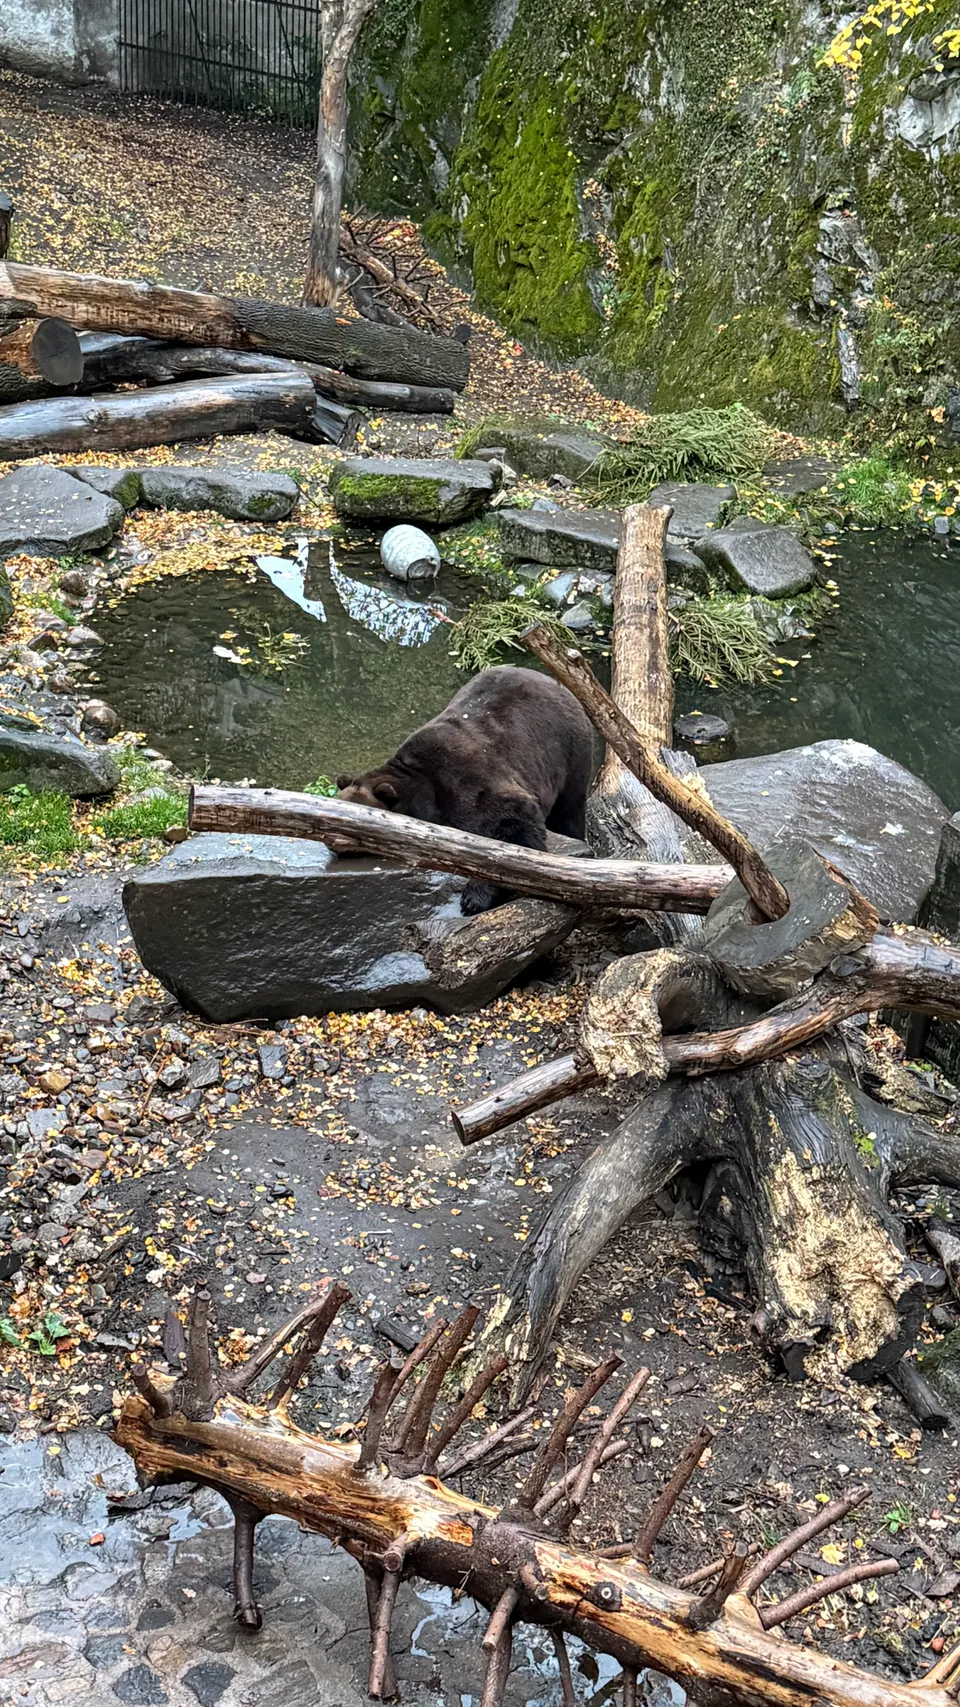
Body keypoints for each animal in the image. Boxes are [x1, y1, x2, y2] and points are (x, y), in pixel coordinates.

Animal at [335, 666, 593, 914]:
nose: (334, 843)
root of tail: (557, 684)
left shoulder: (466, 779)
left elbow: (510, 826)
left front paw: (473, 898)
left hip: (568, 751)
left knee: (568, 811)